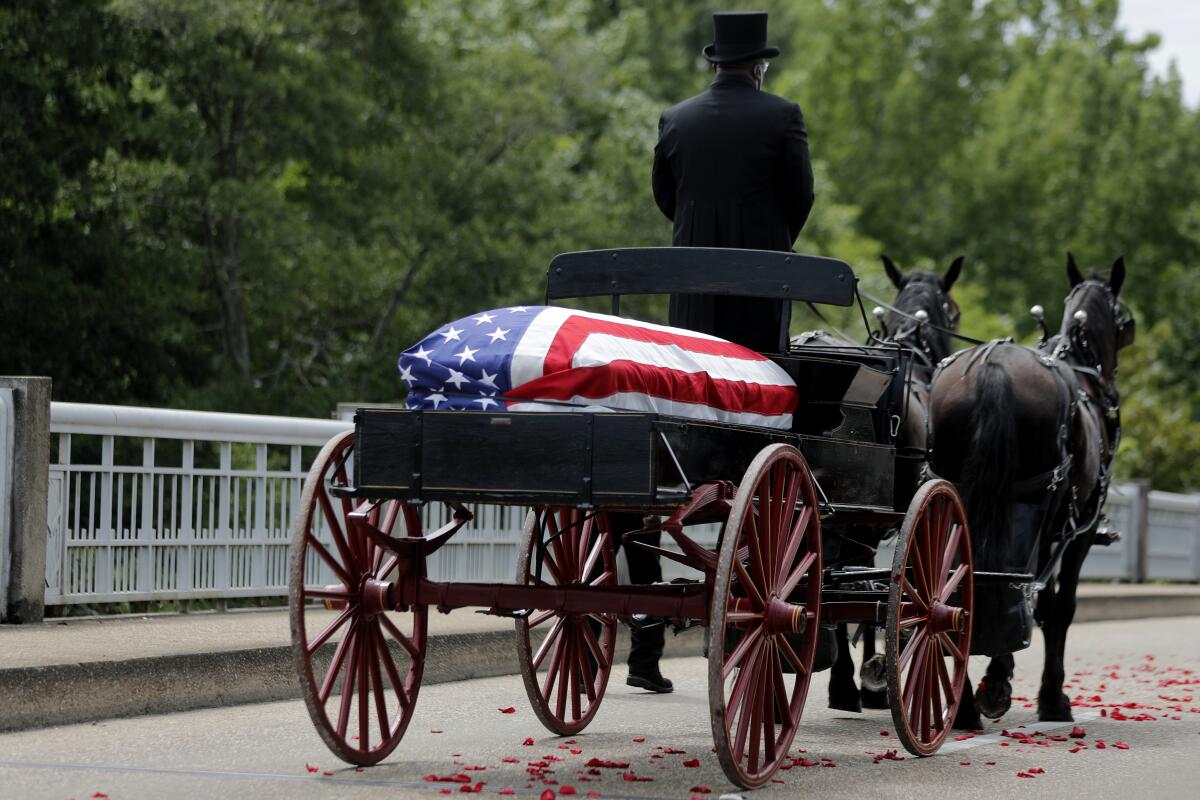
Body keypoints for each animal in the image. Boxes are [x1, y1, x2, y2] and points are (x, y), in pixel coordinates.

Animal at [926, 256, 1132, 724]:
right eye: (1124, 323)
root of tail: (992, 366)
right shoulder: (1077, 531)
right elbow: (1057, 607)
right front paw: (1050, 697)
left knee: (962, 581)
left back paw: (963, 702)